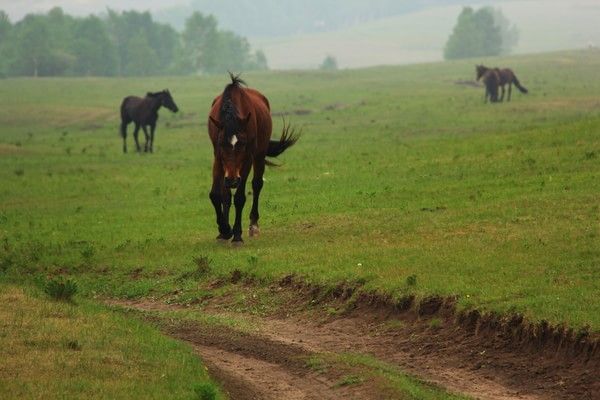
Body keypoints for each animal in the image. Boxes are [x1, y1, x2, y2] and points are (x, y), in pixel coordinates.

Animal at [207, 74, 298, 244]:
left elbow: (240, 197)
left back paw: (253, 225)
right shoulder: (218, 158)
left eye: (242, 144)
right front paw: (224, 230)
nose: (233, 180)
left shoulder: (247, 160)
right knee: (226, 194)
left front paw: (236, 235)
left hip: (259, 156)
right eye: (222, 144)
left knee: (257, 185)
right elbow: (217, 195)